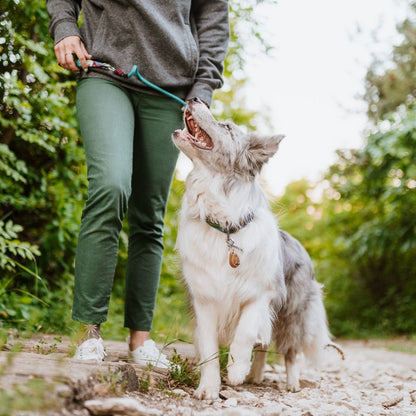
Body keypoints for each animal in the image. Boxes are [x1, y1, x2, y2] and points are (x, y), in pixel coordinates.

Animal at [172, 97, 342, 400]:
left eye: (227, 127)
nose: (193, 98)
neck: (225, 229)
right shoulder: (204, 299)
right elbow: (210, 349)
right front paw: (209, 388)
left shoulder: (262, 293)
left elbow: (246, 333)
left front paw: (236, 370)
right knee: (264, 346)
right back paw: (255, 375)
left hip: (292, 313)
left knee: (289, 350)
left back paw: (291, 382)